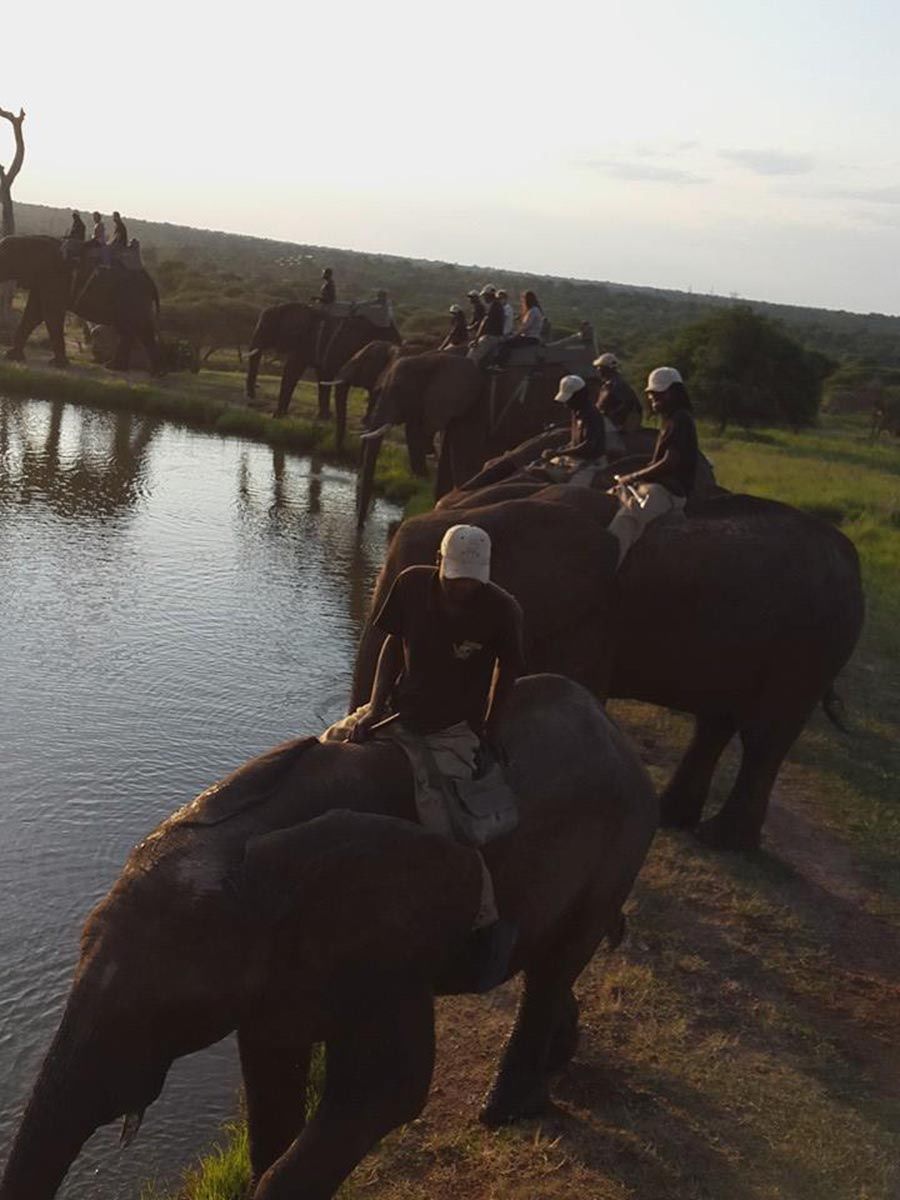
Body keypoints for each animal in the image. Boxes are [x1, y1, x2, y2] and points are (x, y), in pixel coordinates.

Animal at [0, 231, 160, 367]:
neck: (27, 239)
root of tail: (151, 282)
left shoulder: (55, 277)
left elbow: (50, 314)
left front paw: (58, 365)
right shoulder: (43, 279)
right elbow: (33, 314)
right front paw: (12, 356)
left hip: (133, 296)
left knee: (140, 327)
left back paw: (155, 373)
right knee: (128, 328)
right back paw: (115, 367)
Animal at [1, 676, 662, 1200]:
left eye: (169, 1006)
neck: (256, 839)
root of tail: (611, 726)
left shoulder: (391, 937)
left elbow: (389, 1089)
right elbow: (270, 1070)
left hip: (626, 834)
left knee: (557, 962)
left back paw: (505, 1111)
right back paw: (557, 1060)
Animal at [244, 302, 403, 434]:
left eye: (265, 327)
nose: (252, 396)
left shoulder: (304, 342)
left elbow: (292, 371)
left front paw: (277, 416)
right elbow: (323, 376)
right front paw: (324, 417)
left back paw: (366, 422)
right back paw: (366, 421)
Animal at [348, 489, 864, 854]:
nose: (365, 729)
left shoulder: (588, 618)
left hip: (811, 644)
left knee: (764, 736)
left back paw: (718, 840)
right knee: (716, 722)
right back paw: (675, 818)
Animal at [357, 350, 600, 528]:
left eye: (398, 389)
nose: (360, 527)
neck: (436, 357)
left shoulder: (476, 408)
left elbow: (463, 463)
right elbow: (447, 462)